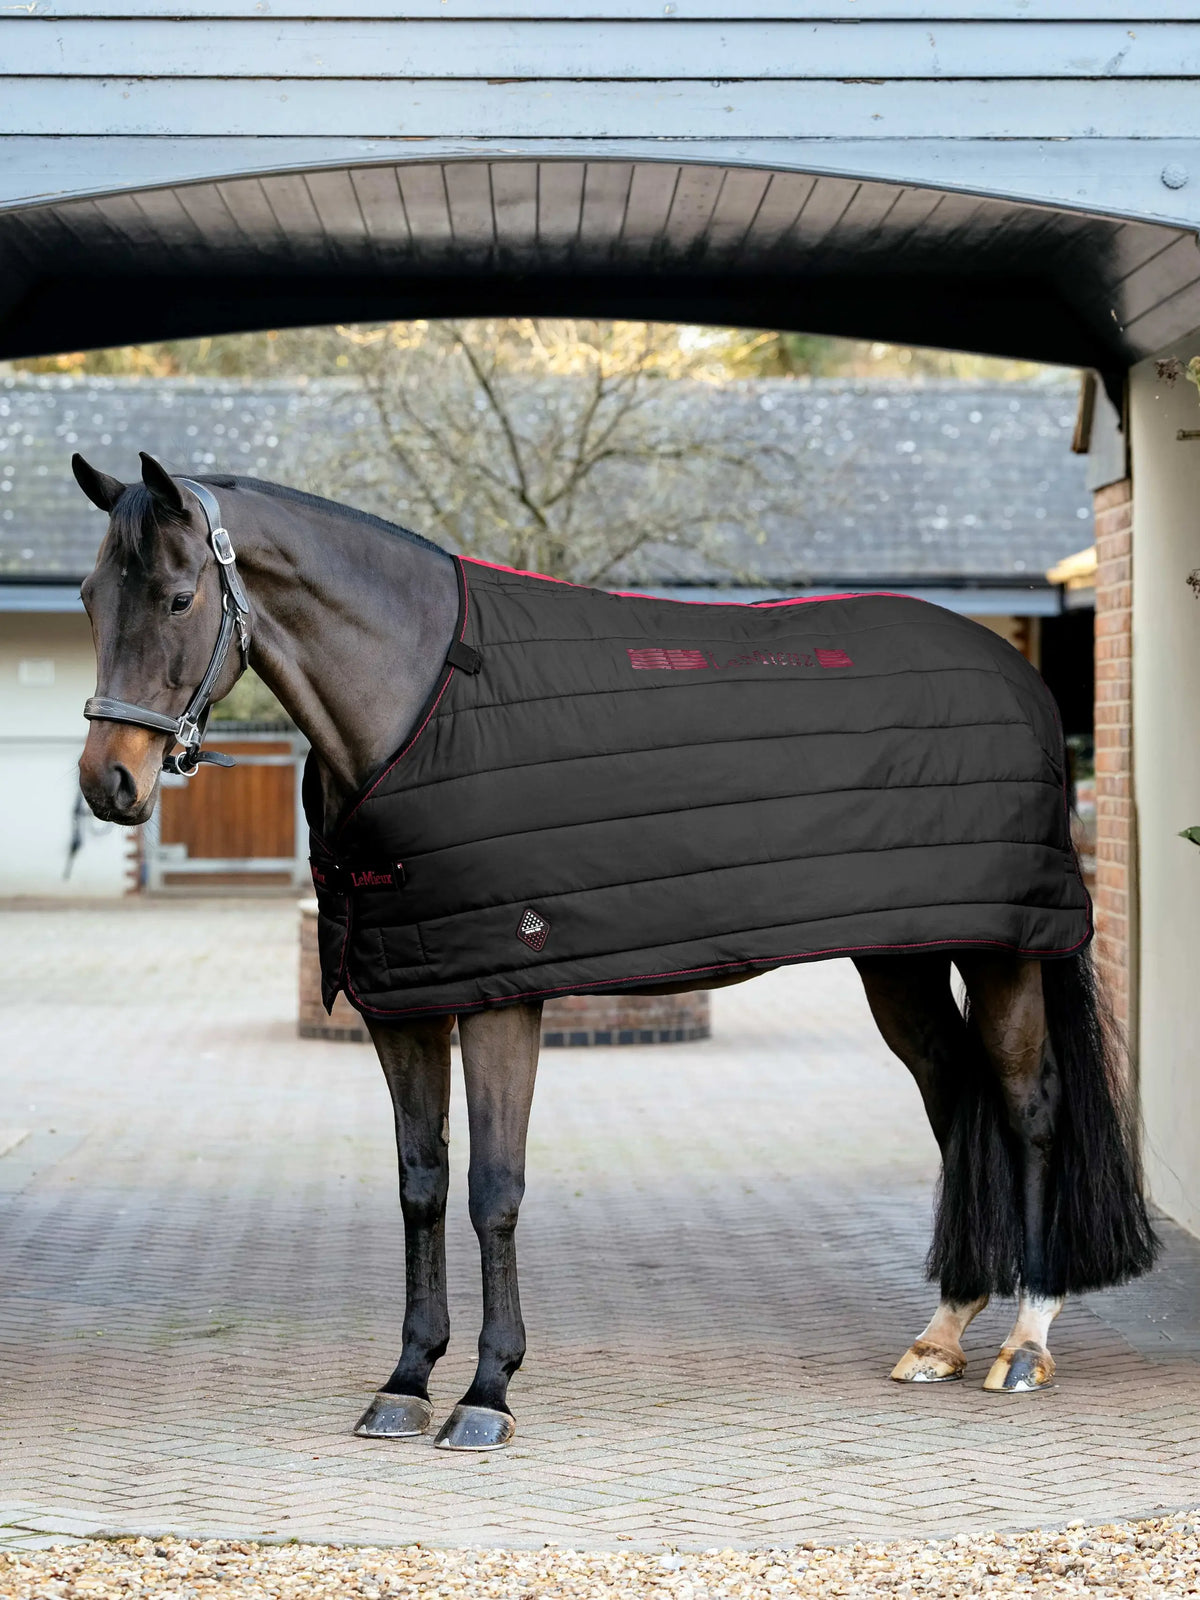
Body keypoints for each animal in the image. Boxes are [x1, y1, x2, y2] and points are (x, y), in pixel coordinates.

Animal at [72, 450, 1158, 1452]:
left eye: (178, 597)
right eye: (88, 598)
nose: (108, 784)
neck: (421, 702)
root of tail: (1018, 676)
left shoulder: (502, 990)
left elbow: (493, 1190)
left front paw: (486, 1393)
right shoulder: (404, 999)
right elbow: (422, 1185)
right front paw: (406, 1380)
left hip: (1007, 952)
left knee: (1028, 1108)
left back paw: (1027, 1340)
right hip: (903, 961)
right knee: (954, 1098)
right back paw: (942, 1333)